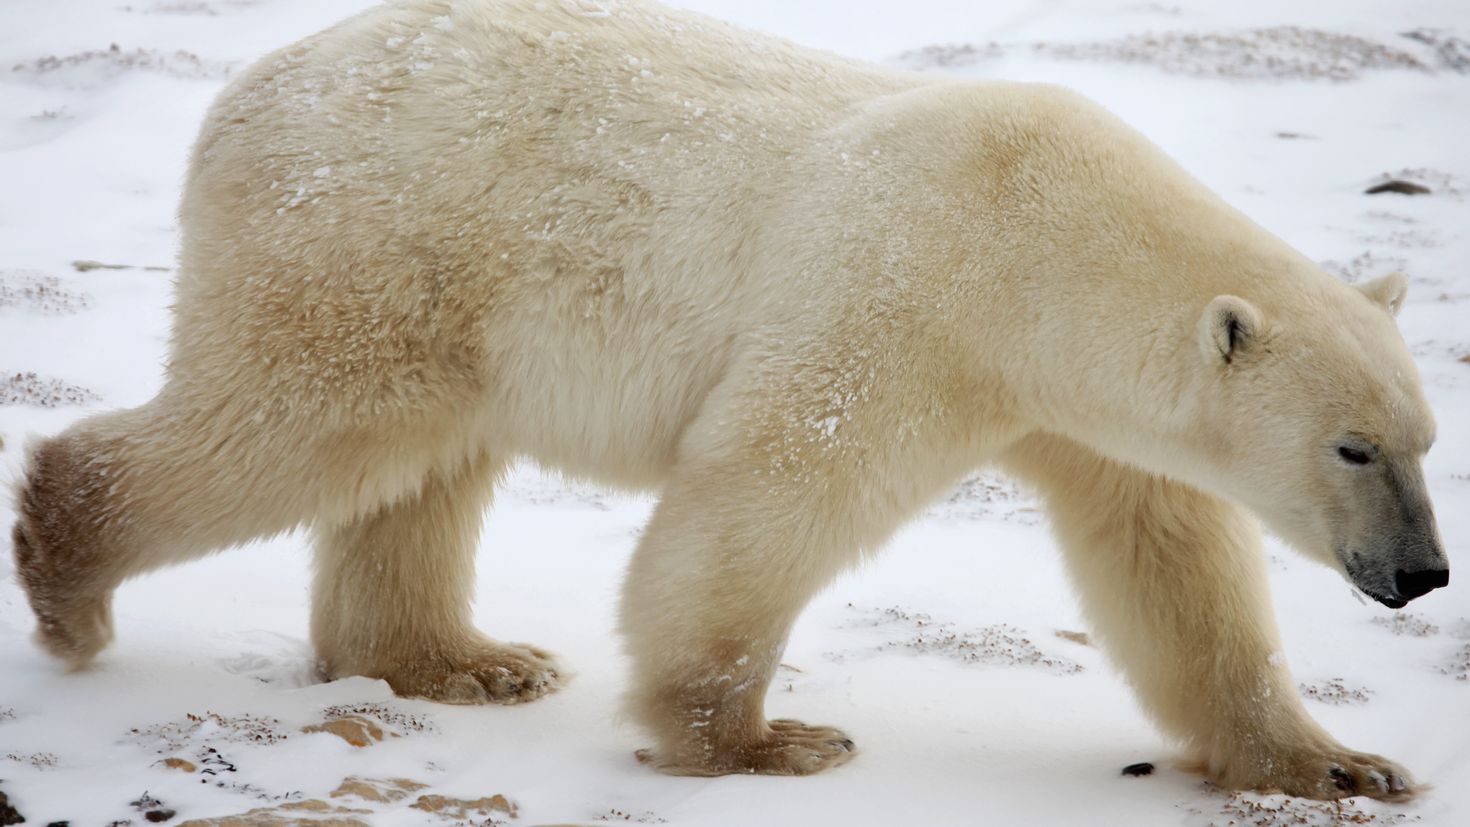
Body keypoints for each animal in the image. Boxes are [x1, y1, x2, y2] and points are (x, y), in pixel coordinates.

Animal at [11, 0, 1446, 804]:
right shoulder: (906, 292)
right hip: (372, 237)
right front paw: (766, 739)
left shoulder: (1078, 405)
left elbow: (1174, 566)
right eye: (1351, 446)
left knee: (416, 469)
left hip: (442, 287)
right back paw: (69, 576)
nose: (1423, 572)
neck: (1043, 237)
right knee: (296, 423)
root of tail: (240, 94)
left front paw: (1340, 762)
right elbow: (770, 484)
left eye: (1427, 442)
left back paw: (465, 658)